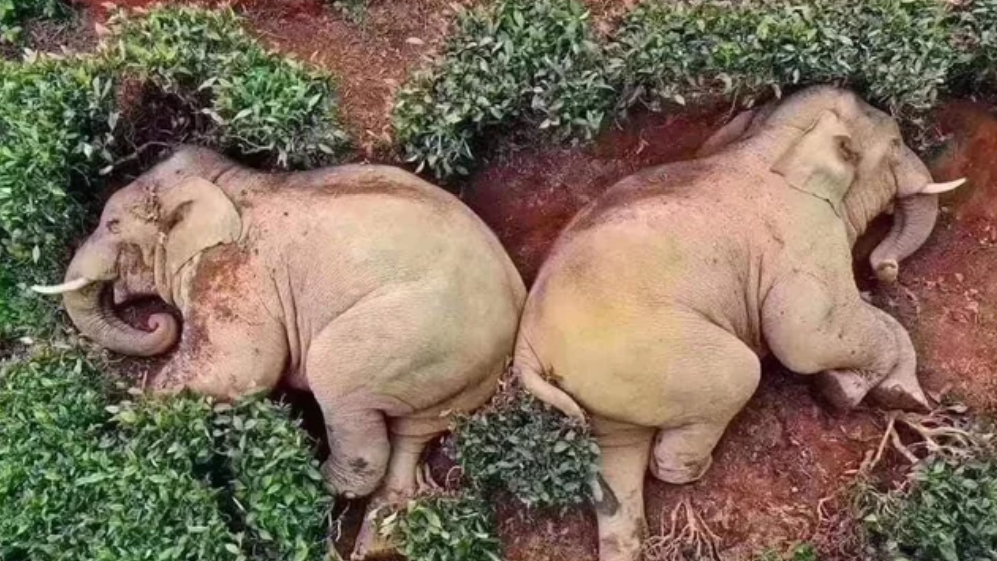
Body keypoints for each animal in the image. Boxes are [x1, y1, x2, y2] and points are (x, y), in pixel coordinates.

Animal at [33, 146, 526, 559]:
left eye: (112, 225)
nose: (157, 321)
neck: (229, 181)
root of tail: (515, 308)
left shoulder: (233, 272)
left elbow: (238, 370)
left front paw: (125, 416)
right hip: (453, 374)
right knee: (412, 435)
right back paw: (378, 539)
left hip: (416, 333)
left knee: (338, 380)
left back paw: (309, 481)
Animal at [512, 86, 965, 561]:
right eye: (894, 144)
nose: (884, 269)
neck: (768, 141)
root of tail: (526, 351)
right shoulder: (804, 234)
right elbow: (804, 338)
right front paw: (843, 391)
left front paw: (898, 393)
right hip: (650, 353)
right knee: (738, 374)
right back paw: (694, 469)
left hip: (606, 386)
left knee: (618, 454)